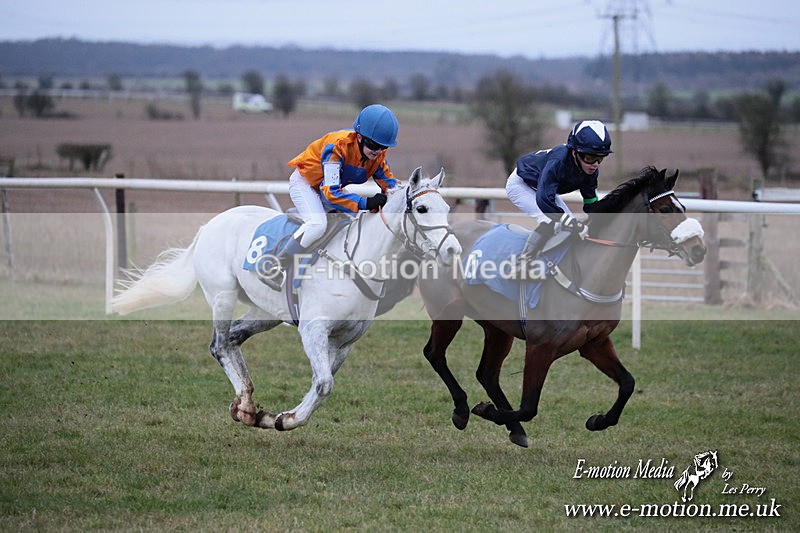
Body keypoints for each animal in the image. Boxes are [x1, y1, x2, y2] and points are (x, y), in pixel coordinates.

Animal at [111, 167, 462, 431]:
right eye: (422, 209)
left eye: (447, 209)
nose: (453, 250)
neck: (357, 261)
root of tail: (210, 224)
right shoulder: (313, 329)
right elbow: (324, 383)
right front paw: (286, 419)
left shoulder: (345, 340)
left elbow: (321, 383)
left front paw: (277, 417)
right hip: (222, 294)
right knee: (219, 345)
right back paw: (245, 403)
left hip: (265, 312)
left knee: (234, 339)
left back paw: (246, 406)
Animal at [418, 167, 707, 447]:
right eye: (665, 209)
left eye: (682, 206)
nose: (699, 250)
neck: (588, 273)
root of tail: (441, 241)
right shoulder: (540, 346)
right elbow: (529, 407)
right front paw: (485, 410)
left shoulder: (595, 343)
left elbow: (628, 383)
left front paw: (598, 420)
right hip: (449, 313)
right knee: (434, 354)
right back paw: (462, 410)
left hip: (497, 327)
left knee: (487, 374)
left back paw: (515, 430)